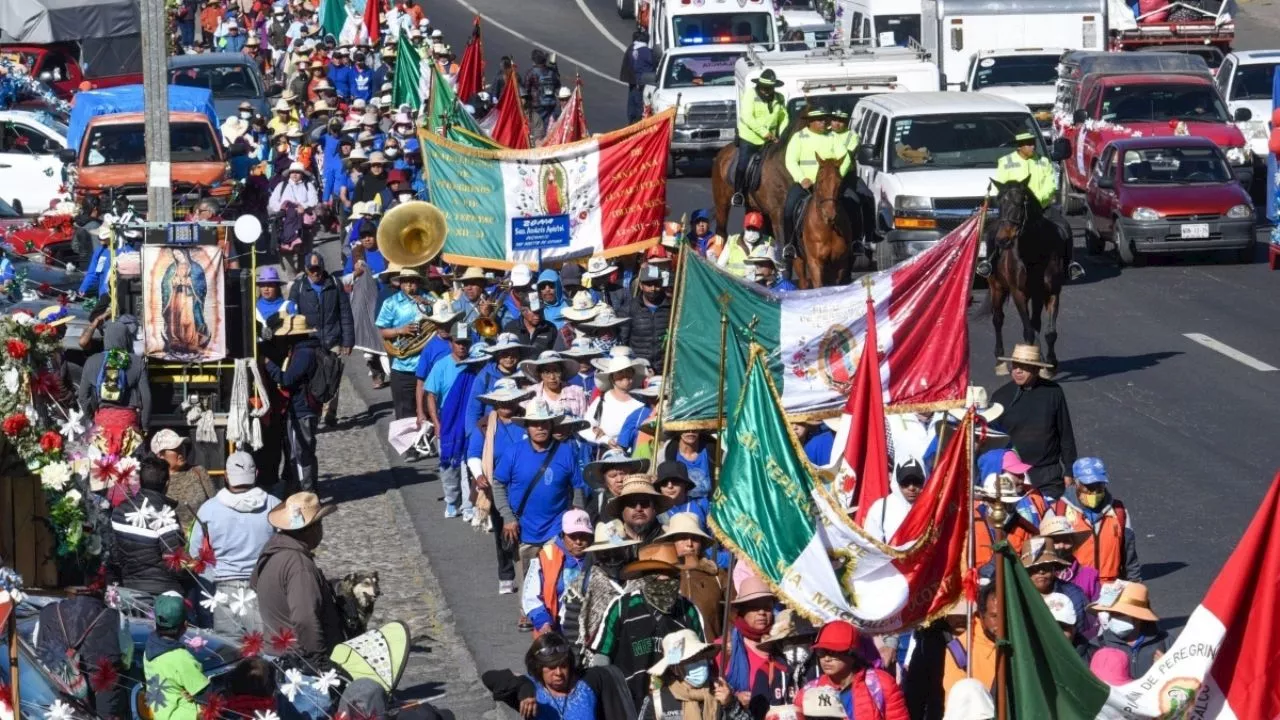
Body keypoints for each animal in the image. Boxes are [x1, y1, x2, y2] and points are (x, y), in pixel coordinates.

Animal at [983, 178, 1064, 376]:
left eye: (1020, 203)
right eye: (998, 202)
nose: (1002, 240)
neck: (1034, 252)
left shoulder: (1051, 292)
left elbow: (1049, 332)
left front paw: (1049, 364)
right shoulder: (1018, 293)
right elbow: (1028, 331)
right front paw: (1029, 362)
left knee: (1035, 323)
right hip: (997, 287)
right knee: (998, 319)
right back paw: (1000, 360)